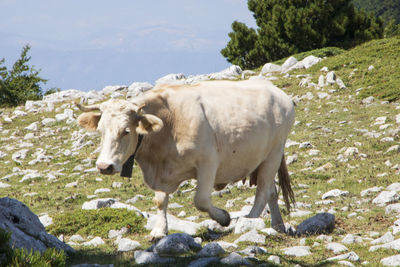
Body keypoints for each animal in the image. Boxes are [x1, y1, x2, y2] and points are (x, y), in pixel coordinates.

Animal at [78, 80, 296, 241]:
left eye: (126, 131)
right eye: (100, 130)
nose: (104, 166)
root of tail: (278, 92)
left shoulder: (208, 161)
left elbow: (201, 200)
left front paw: (224, 218)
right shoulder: (161, 172)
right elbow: (160, 201)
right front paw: (159, 231)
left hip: (274, 152)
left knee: (263, 191)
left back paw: (248, 220)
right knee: (272, 191)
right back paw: (278, 225)